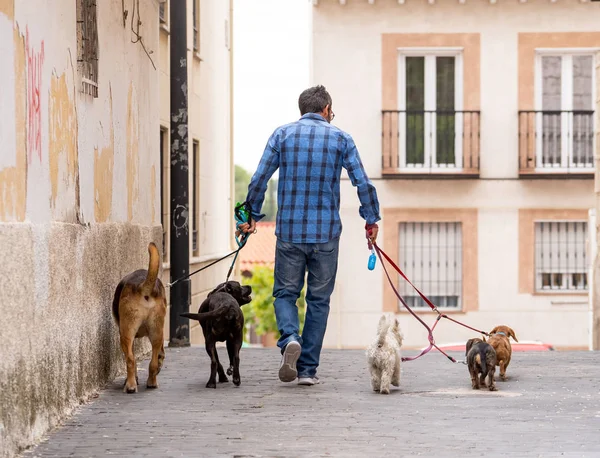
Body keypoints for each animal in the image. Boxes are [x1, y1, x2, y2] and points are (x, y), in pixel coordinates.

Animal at [110, 243, 165, 394]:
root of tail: (143, 286)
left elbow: (132, 358)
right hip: (156, 332)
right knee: (153, 362)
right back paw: (152, 382)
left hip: (126, 334)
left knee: (130, 360)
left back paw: (130, 386)